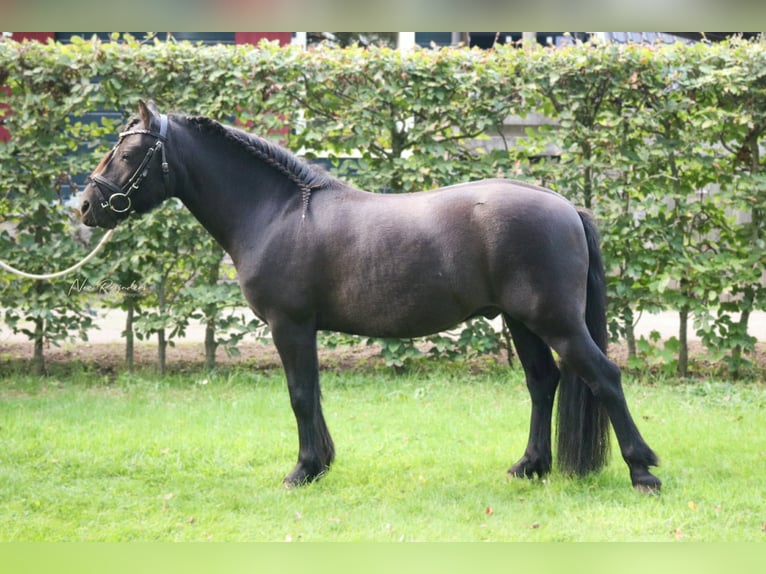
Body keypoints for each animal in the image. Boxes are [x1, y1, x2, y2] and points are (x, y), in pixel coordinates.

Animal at [80, 100, 661, 492]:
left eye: (127, 150)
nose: (85, 205)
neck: (279, 212)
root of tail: (562, 203)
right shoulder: (302, 330)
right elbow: (312, 395)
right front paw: (320, 463)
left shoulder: (290, 325)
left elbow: (300, 395)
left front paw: (303, 470)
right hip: (522, 322)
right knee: (544, 383)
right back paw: (530, 467)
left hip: (556, 322)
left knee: (604, 377)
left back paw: (643, 470)